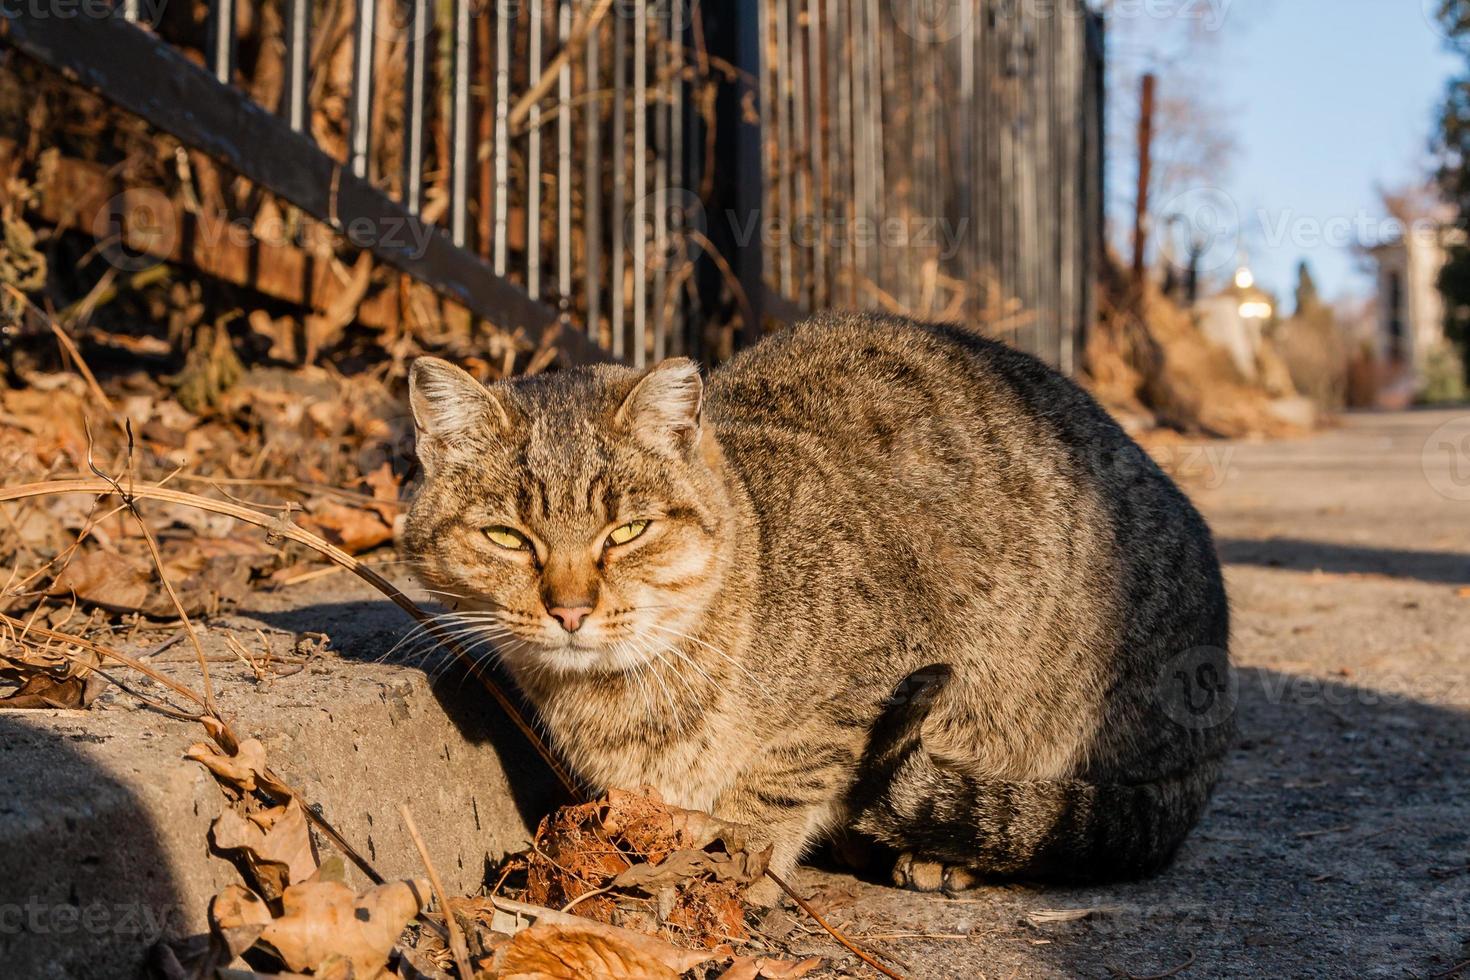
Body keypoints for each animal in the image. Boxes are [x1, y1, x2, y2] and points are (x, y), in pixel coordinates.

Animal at [402, 314, 1228, 905]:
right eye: (508, 537)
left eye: (627, 531)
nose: (570, 610)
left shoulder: (867, 683)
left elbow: (780, 781)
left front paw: (736, 863)